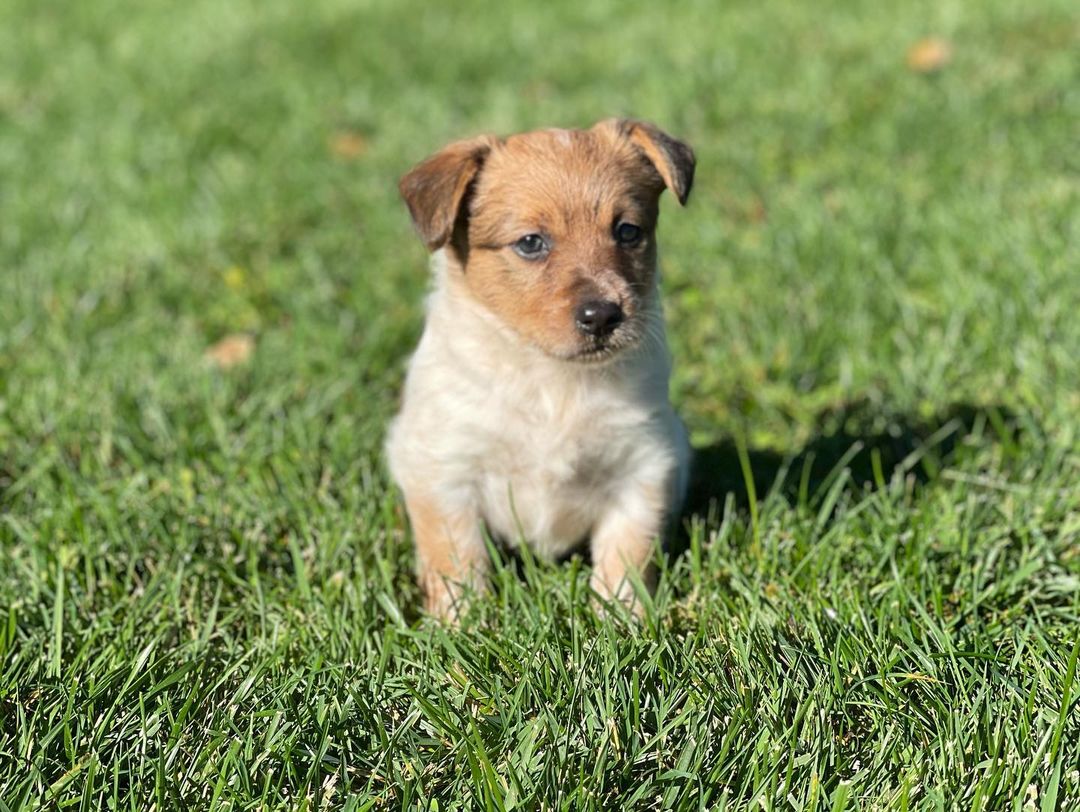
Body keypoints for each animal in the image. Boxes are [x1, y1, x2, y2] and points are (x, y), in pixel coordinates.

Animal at [386, 117, 691, 617]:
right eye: (531, 243)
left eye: (627, 231)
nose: (602, 316)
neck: (552, 379)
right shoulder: (445, 470)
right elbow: (457, 561)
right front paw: (460, 624)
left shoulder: (642, 466)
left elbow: (626, 556)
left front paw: (622, 620)